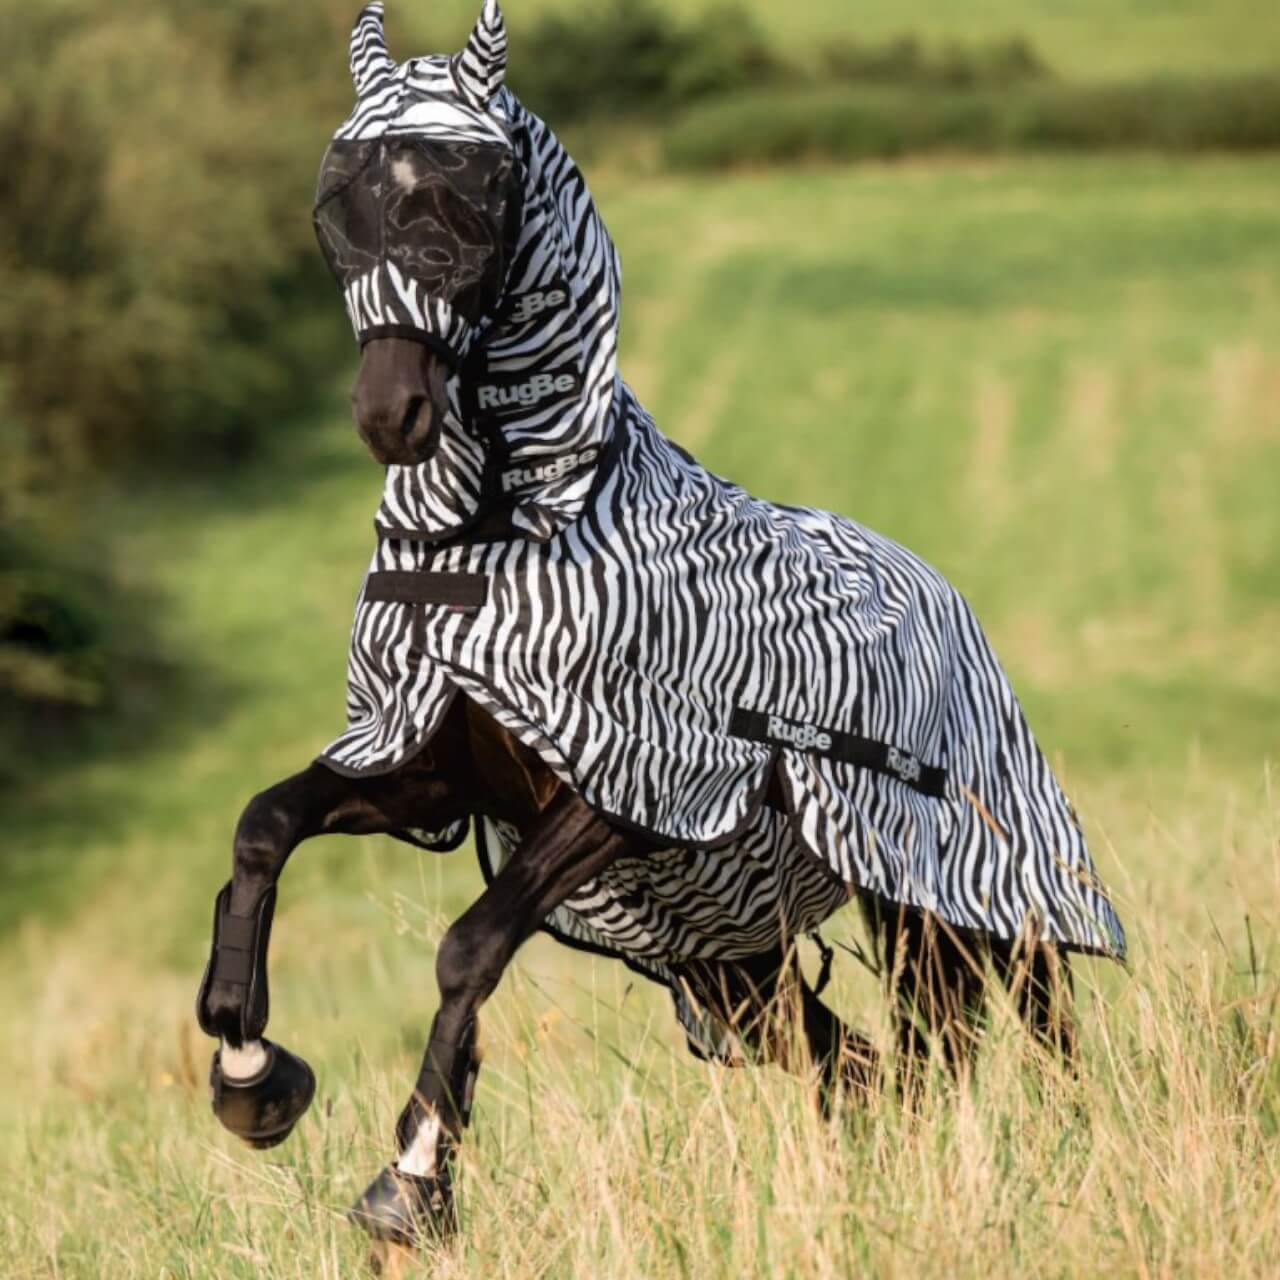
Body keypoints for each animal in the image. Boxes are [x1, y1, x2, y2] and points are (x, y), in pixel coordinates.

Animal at [195, 0, 1126, 1254]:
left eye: (468, 202)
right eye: (335, 204)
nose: (391, 414)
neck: (507, 536)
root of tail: (939, 592)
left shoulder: (625, 791)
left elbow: (469, 944)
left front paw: (412, 1177)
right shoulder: (431, 769)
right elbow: (265, 825)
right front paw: (249, 1068)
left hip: (966, 897)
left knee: (1039, 1031)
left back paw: (1081, 1164)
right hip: (736, 964)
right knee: (869, 1069)